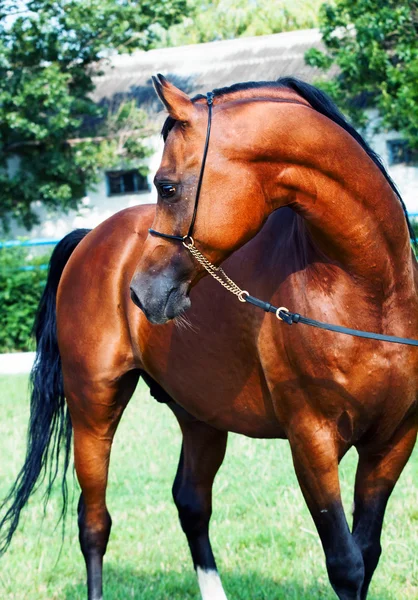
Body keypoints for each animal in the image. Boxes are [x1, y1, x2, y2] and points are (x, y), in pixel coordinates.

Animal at [0, 76, 418, 600]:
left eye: (167, 185)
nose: (141, 293)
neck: (371, 293)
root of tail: (92, 237)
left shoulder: (393, 442)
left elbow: (368, 553)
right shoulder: (312, 441)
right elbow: (346, 563)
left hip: (200, 417)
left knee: (191, 504)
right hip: (92, 406)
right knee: (93, 522)